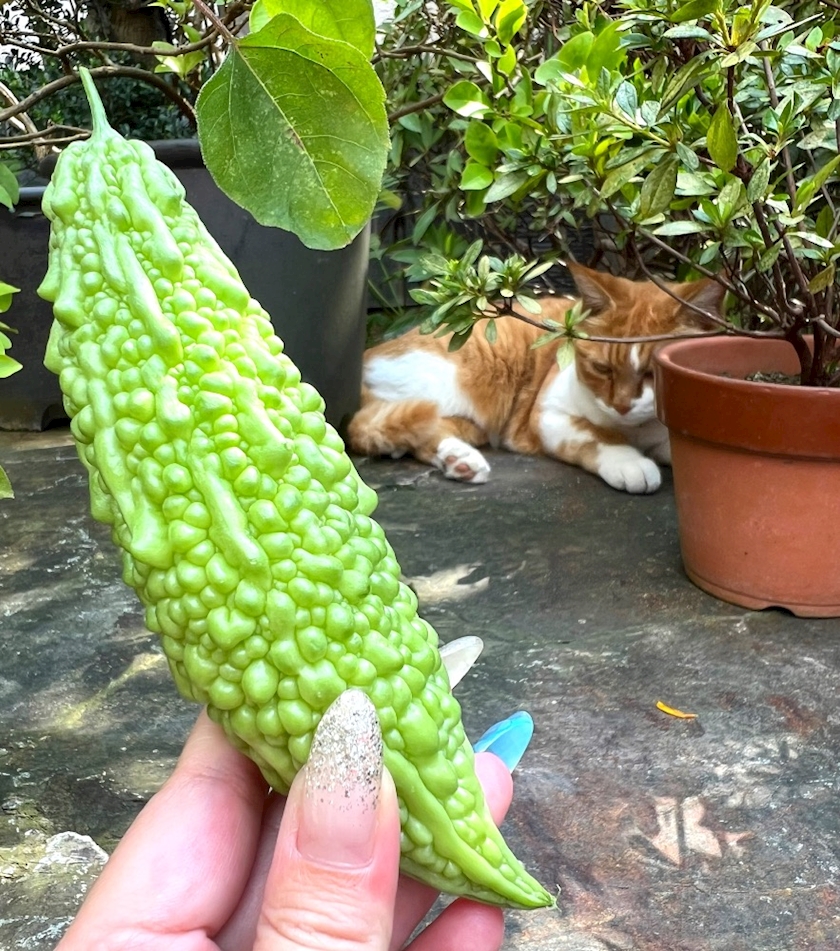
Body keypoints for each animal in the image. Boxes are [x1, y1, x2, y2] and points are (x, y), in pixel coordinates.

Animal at [347, 263, 725, 493]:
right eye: (602, 369)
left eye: (650, 373)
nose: (621, 406)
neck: (638, 430)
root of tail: (371, 352)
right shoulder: (547, 414)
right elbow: (595, 437)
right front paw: (628, 461)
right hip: (462, 383)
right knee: (390, 424)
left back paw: (456, 460)